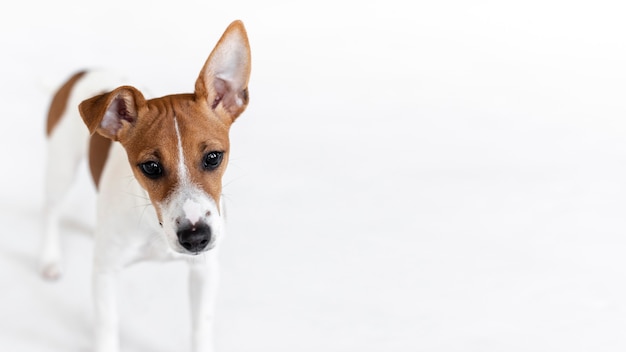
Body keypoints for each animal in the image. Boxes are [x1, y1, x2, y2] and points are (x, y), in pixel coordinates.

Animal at [39, 20, 251, 352]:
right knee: (51, 209)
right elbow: (107, 329)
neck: (156, 228)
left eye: (213, 157)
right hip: (60, 167)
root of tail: (82, 72)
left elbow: (200, 329)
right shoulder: (106, 274)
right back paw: (49, 258)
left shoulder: (204, 272)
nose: (195, 238)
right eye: (151, 167)